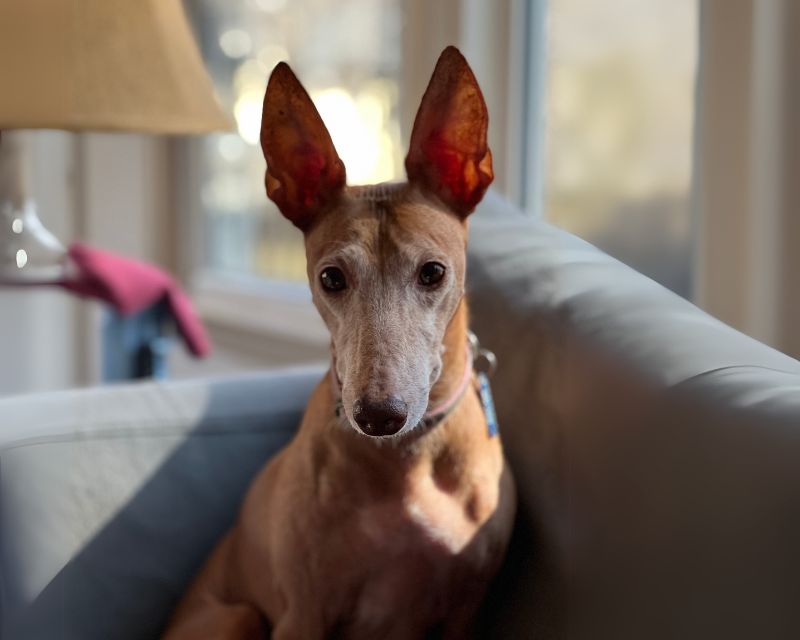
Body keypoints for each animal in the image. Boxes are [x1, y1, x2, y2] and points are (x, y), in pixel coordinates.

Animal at [163, 46, 516, 640]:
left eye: (433, 272)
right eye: (331, 278)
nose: (379, 415)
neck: (405, 461)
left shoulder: (465, 609)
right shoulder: (303, 613)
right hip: (237, 616)